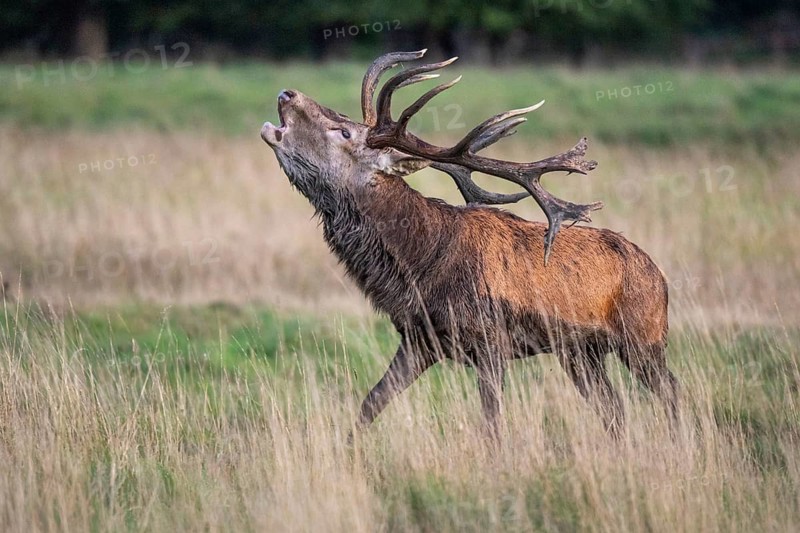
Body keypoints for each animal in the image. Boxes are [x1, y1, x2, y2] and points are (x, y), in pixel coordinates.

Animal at [260, 50, 678, 440]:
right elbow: (370, 403)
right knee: (613, 408)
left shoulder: (491, 340)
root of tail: (660, 276)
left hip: (644, 335)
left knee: (669, 390)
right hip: (580, 352)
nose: (287, 93)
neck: (421, 267)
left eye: (344, 132)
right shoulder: (419, 340)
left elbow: (491, 423)